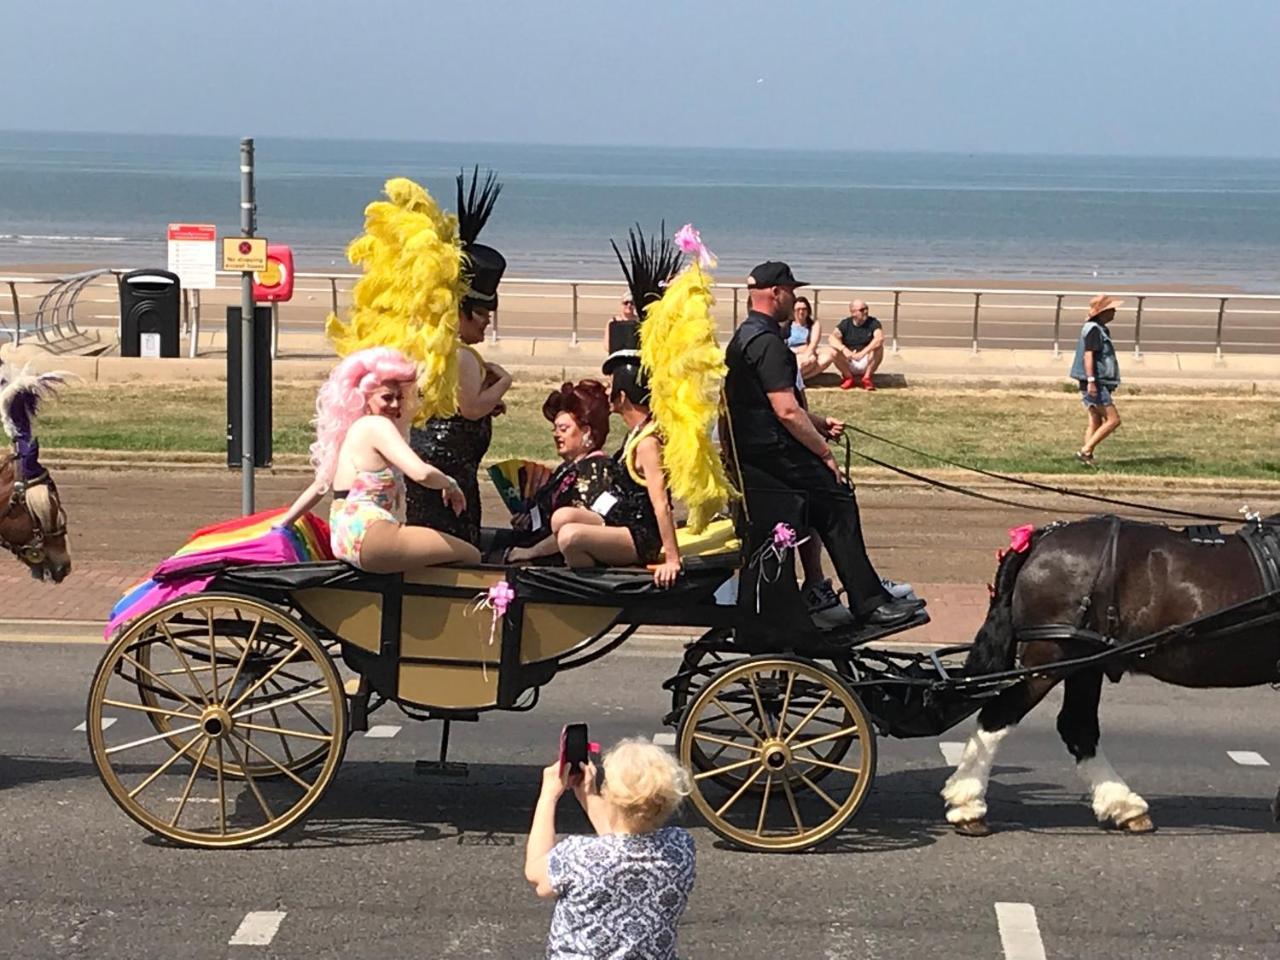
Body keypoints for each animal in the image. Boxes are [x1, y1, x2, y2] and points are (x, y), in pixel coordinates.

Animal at [942, 514, 1280, 839]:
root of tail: (1041, 538)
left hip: (1085, 663)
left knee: (1077, 727)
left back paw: (1123, 806)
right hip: (1051, 658)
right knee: (1000, 715)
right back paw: (968, 804)